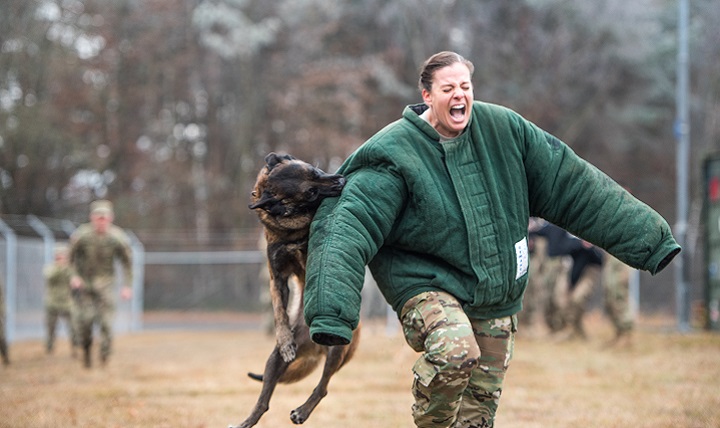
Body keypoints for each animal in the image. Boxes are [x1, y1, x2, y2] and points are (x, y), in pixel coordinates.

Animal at [232, 152, 360, 426]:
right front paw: (284, 339)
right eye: (311, 192)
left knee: (322, 387)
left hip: (338, 349)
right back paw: (246, 421)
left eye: (316, 171)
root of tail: (314, 348)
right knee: (263, 402)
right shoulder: (276, 277)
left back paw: (302, 411)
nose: (342, 180)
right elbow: (279, 310)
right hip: (273, 362)